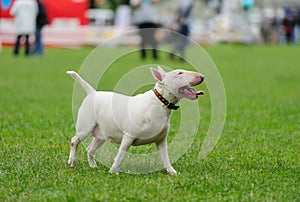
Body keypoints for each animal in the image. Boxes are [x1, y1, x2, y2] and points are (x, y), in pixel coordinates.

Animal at [67, 66, 204, 174]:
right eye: (179, 73)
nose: (202, 76)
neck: (159, 102)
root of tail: (92, 93)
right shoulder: (128, 136)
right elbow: (120, 155)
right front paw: (113, 171)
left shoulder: (161, 140)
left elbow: (165, 157)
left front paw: (172, 172)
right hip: (85, 127)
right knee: (74, 141)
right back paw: (72, 161)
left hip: (102, 133)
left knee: (90, 149)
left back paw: (93, 166)